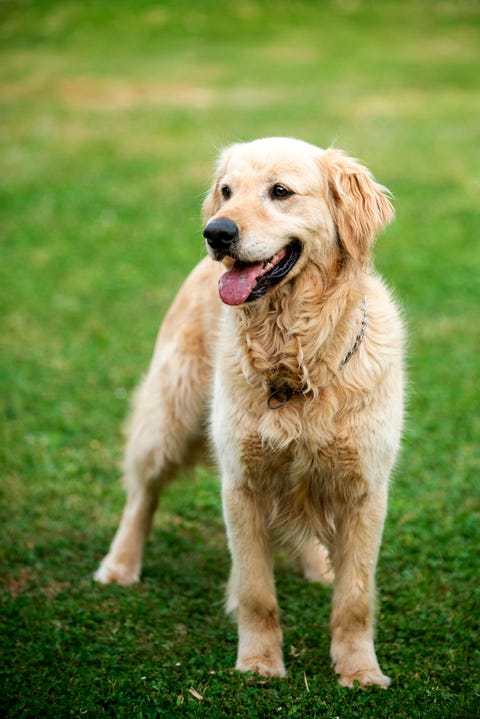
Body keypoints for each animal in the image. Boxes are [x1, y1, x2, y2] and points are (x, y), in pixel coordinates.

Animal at [95, 136, 404, 692]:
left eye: (280, 191)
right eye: (226, 190)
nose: (216, 232)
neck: (297, 359)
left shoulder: (365, 489)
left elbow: (355, 598)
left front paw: (360, 670)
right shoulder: (242, 485)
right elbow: (257, 591)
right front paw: (260, 662)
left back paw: (319, 566)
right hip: (170, 415)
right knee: (142, 492)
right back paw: (121, 563)